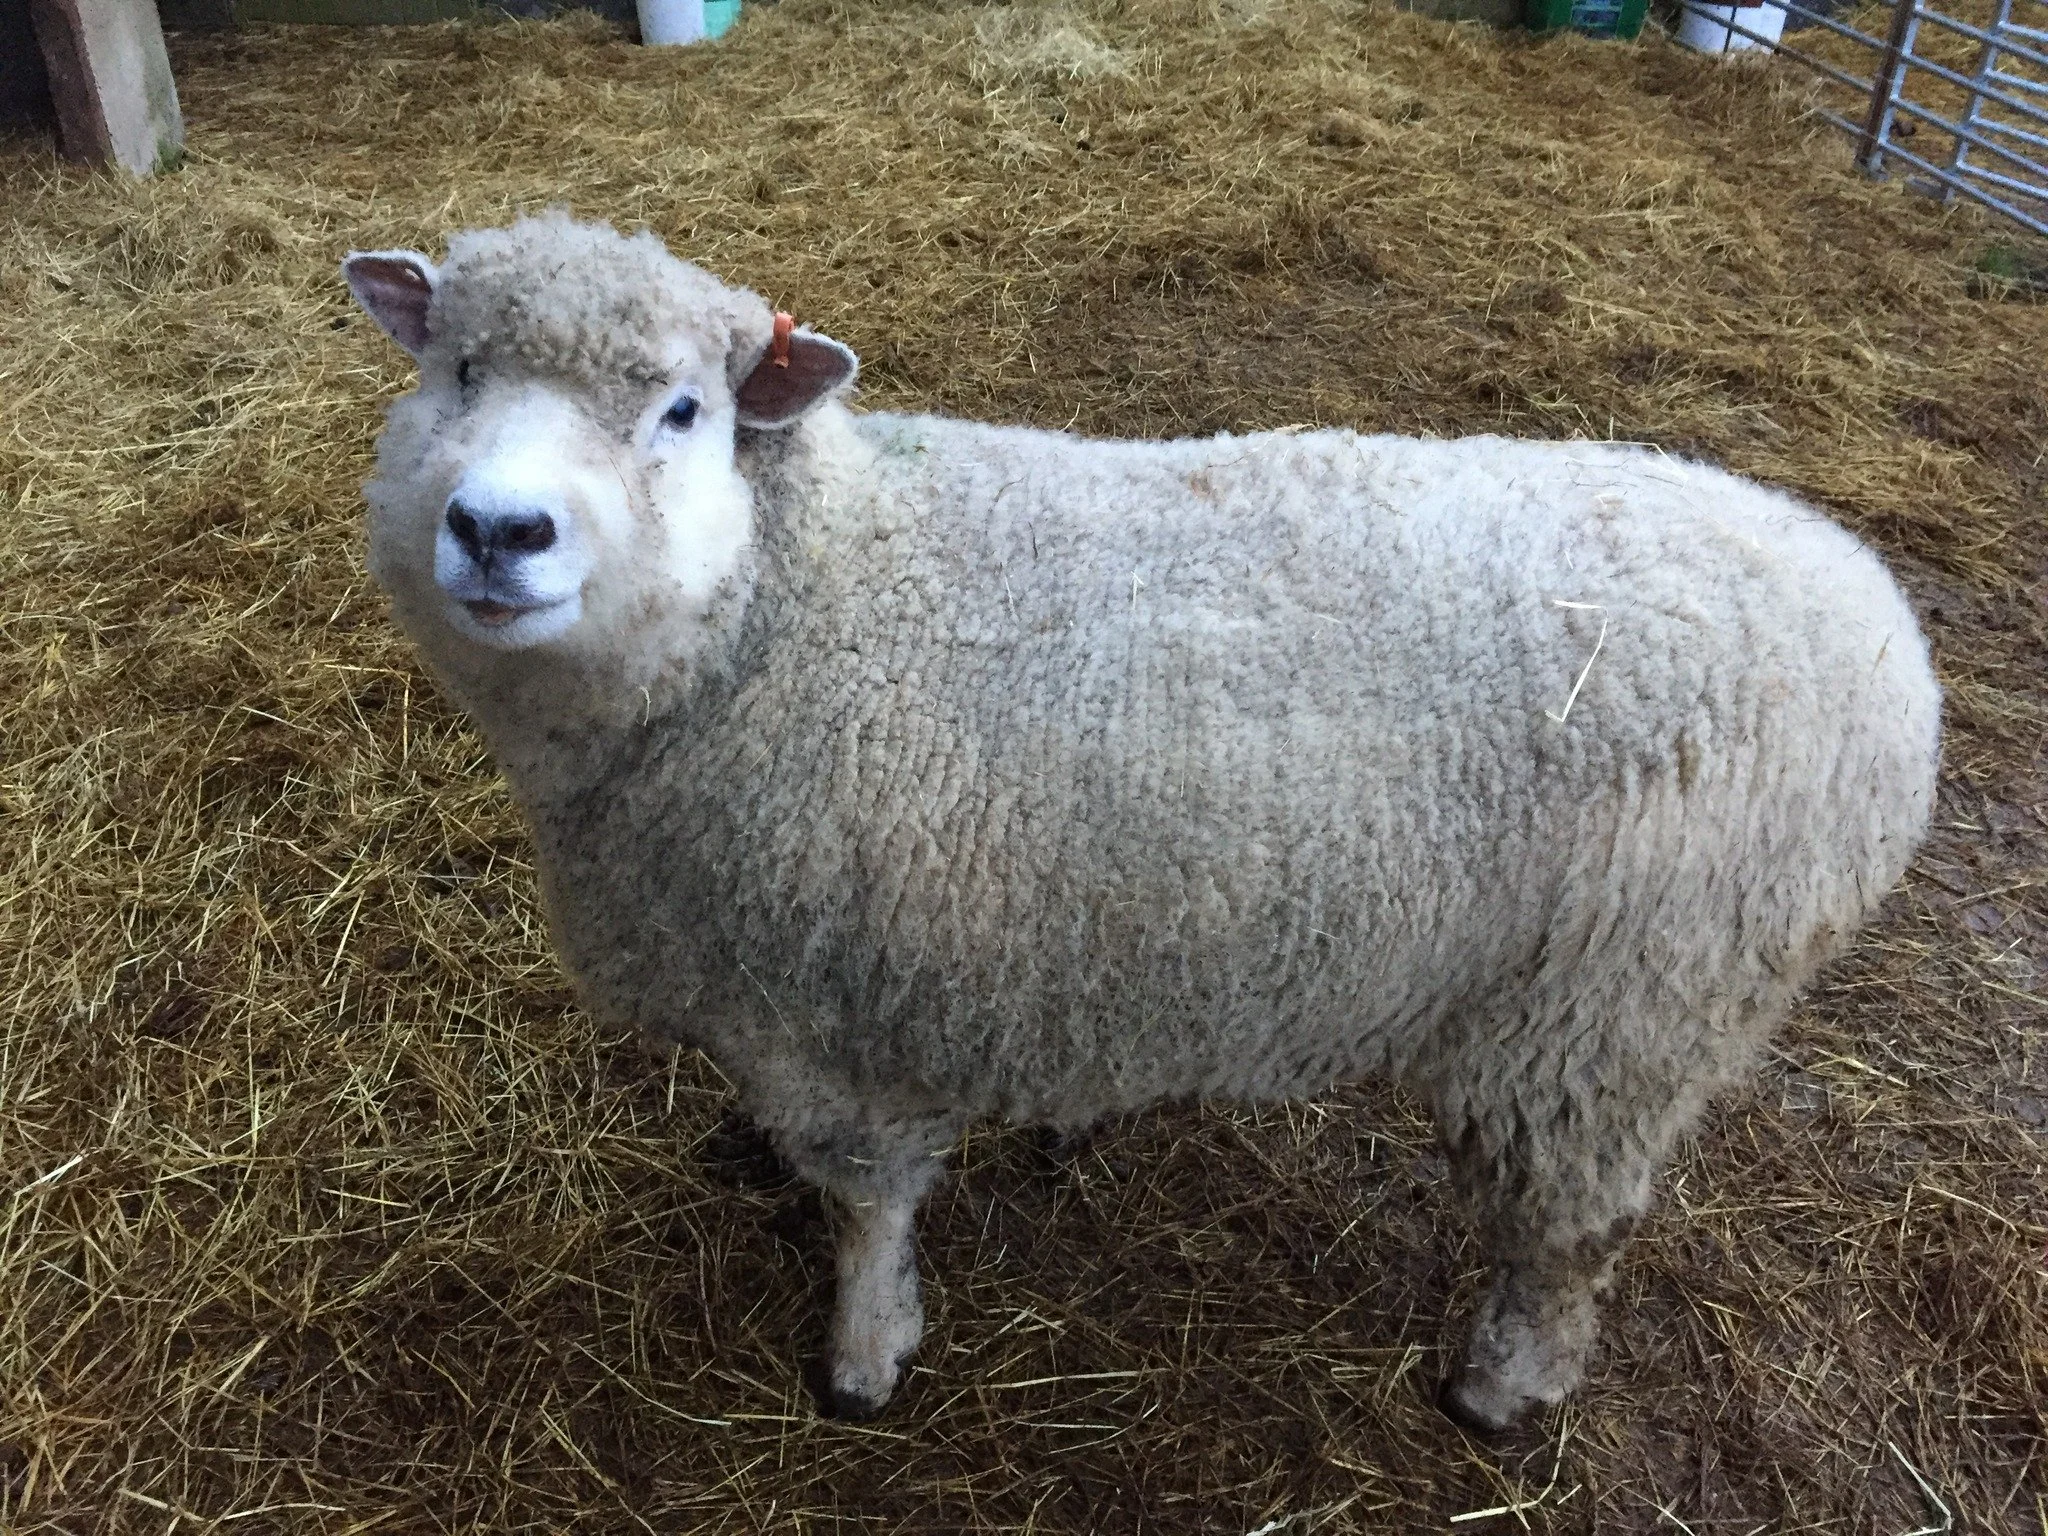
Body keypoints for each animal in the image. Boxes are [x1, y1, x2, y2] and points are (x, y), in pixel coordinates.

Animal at [341, 212, 1942, 1430]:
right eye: (457, 369)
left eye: (681, 411)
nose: (497, 530)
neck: (797, 608)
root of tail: (1884, 635)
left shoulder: (847, 1021)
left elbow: (867, 1209)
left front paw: (864, 1355)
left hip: (1628, 1013)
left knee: (1570, 1227)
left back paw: (1502, 1387)